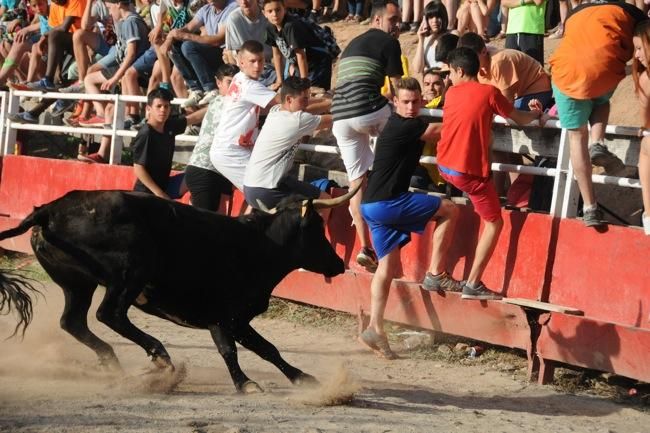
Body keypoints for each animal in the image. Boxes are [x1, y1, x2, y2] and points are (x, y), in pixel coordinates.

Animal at [0, 187, 356, 394]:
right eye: (317, 227)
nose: (338, 264)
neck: (259, 244)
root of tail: (50, 210)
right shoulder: (225, 316)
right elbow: (240, 349)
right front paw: (247, 383)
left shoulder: (233, 319)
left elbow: (266, 349)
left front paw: (301, 378)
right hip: (130, 273)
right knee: (109, 314)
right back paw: (160, 357)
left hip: (77, 284)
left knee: (73, 321)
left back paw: (113, 361)